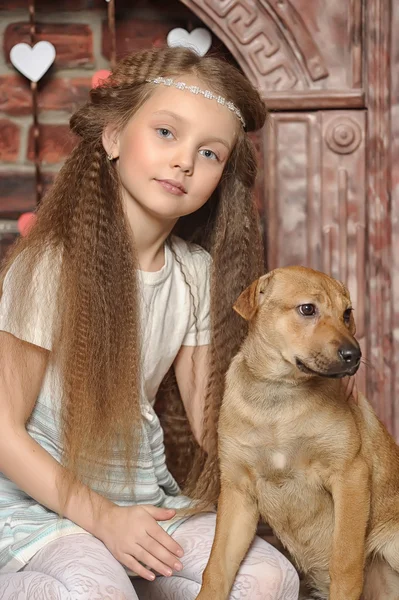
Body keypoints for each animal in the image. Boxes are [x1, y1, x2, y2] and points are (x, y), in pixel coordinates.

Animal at [196, 266, 399, 600]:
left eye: (347, 313)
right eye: (307, 309)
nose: (355, 355)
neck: (280, 396)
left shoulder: (350, 474)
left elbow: (345, 563)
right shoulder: (238, 493)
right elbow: (216, 569)